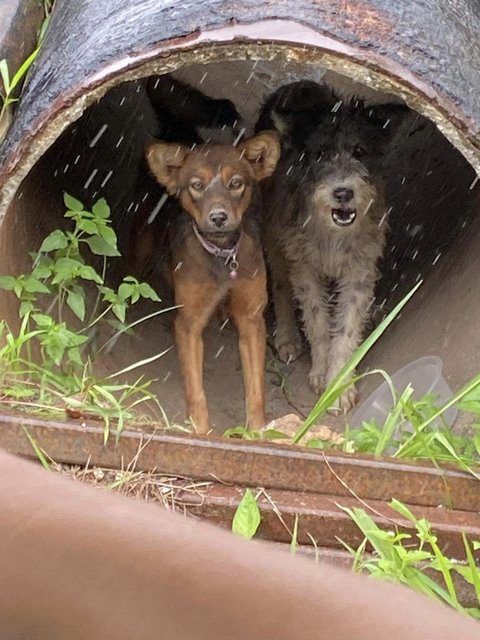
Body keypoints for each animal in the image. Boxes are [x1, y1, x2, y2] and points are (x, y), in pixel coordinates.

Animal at [144, 132, 280, 432]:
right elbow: (196, 392)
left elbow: (256, 391)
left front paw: (257, 432)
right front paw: (199, 432)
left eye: (236, 183)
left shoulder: (252, 318)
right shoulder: (189, 323)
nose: (218, 217)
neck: (222, 255)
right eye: (197, 185)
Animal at [256, 81, 406, 410]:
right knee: (281, 287)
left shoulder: (359, 272)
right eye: (320, 154)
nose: (343, 192)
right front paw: (321, 375)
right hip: (274, 237)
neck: (333, 233)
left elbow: (347, 328)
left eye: (360, 151)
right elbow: (318, 323)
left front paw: (339, 386)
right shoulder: (304, 269)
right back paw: (287, 339)